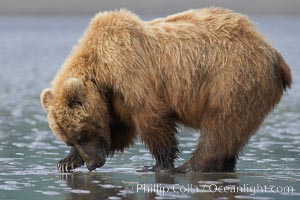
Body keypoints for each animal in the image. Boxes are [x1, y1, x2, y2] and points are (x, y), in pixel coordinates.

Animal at [39, 7, 290, 173]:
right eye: (70, 139)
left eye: (82, 134)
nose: (93, 164)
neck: (102, 71)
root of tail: (273, 51)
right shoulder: (114, 98)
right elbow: (117, 127)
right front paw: (66, 162)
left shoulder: (132, 75)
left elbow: (152, 118)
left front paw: (158, 165)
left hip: (232, 78)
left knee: (221, 125)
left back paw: (190, 166)